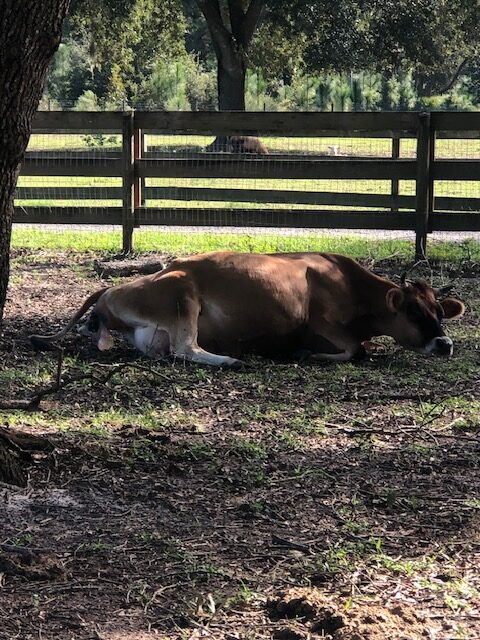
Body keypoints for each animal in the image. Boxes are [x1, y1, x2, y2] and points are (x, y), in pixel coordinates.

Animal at [30, 252, 465, 367]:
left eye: (439, 313)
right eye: (414, 312)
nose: (445, 344)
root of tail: (108, 290)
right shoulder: (321, 321)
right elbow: (354, 348)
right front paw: (305, 354)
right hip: (182, 291)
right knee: (186, 349)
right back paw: (231, 360)